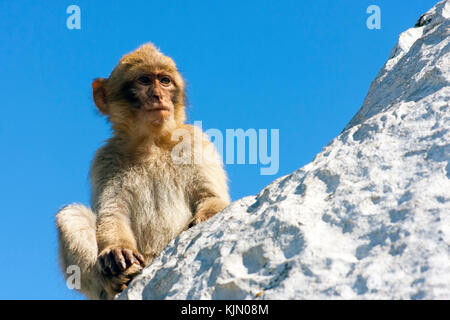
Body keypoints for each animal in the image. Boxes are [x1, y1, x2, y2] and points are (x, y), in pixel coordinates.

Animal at [55, 43, 230, 300]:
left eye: (165, 80)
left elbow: (213, 197)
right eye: (145, 80)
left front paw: (203, 218)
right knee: (70, 214)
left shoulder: (195, 140)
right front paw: (116, 250)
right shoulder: (105, 158)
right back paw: (117, 281)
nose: (159, 96)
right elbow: (112, 212)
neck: (151, 143)